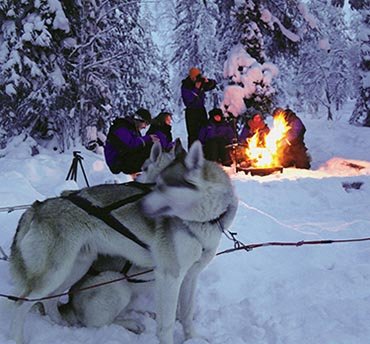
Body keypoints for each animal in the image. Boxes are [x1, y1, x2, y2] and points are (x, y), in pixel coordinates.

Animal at [10, 140, 240, 344]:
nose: (141, 205)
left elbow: (186, 314)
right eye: (156, 185)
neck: (203, 221)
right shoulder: (169, 276)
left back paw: (63, 324)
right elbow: (166, 326)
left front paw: (193, 338)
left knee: (51, 300)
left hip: (74, 268)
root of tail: (37, 207)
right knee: (24, 306)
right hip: (99, 280)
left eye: (163, 187)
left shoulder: (191, 275)